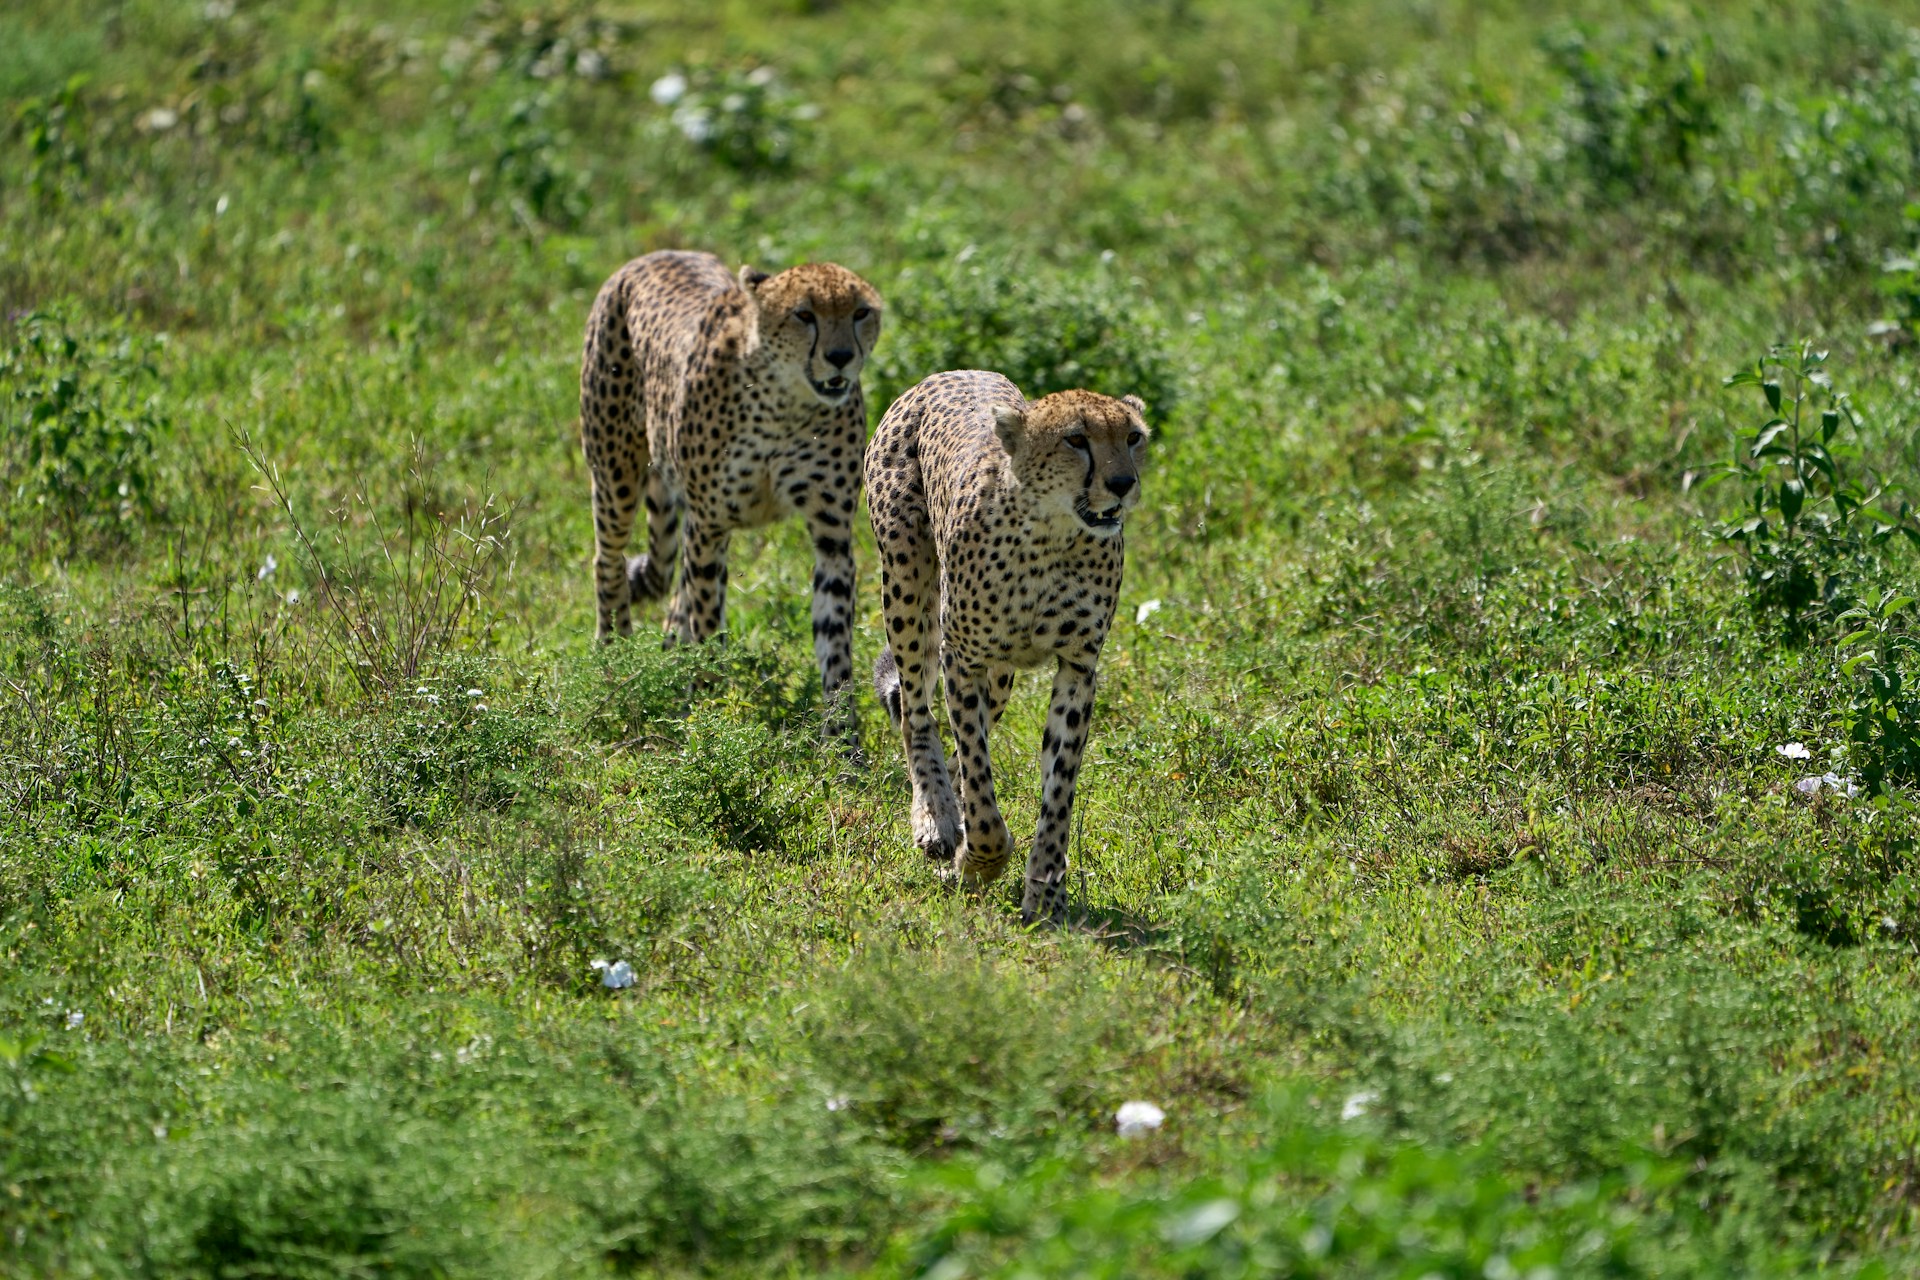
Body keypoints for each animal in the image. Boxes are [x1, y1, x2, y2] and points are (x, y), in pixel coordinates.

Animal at [576, 249, 883, 721]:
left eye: (861, 312)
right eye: (804, 314)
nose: (840, 356)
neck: (786, 402)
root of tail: (660, 252)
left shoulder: (831, 535)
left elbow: (835, 640)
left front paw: (842, 732)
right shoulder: (709, 524)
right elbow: (706, 623)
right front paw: (711, 708)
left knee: (672, 589)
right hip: (616, 474)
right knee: (608, 561)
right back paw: (616, 657)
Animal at [875, 368, 1152, 921]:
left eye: (1133, 437)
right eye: (1076, 440)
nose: (1122, 484)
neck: (1053, 534)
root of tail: (956, 371)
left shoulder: (1077, 667)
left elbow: (1058, 787)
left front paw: (1046, 891)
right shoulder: (962, 659)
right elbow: (979, 779)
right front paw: (980, 859)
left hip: (1000, 676)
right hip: (907, 588)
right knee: (917, 712)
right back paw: (935, 818)